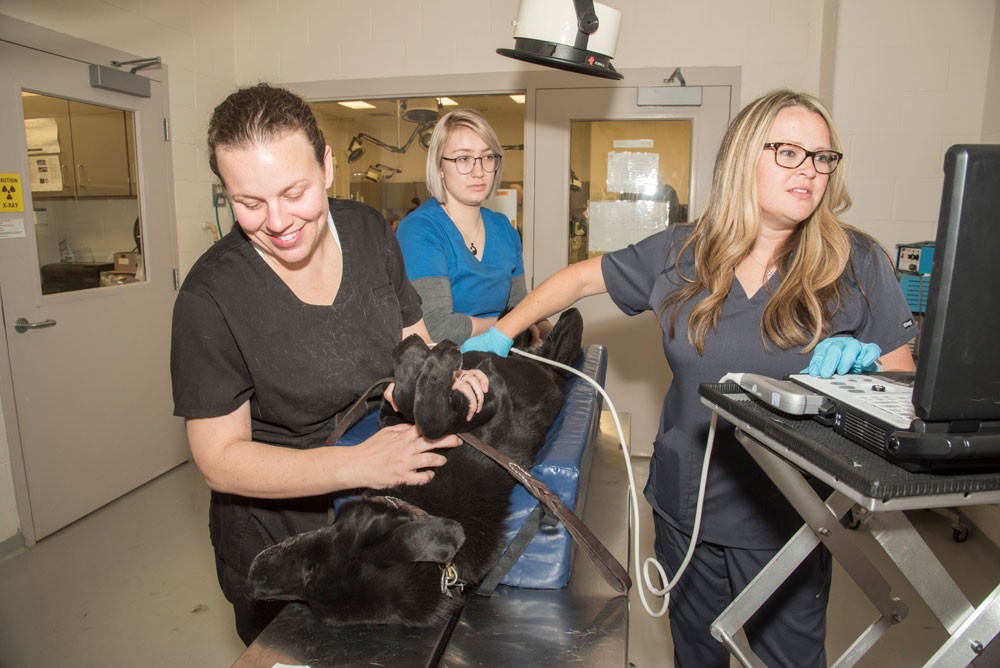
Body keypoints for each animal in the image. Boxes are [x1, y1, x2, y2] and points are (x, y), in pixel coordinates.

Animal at [245, 310, 584, 628]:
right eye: (307, 592)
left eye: (311, 569)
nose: (252, 581)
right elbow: (413, 404)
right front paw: (423, 359)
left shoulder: (481, 409)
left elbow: (421, 412)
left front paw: (424, 357)